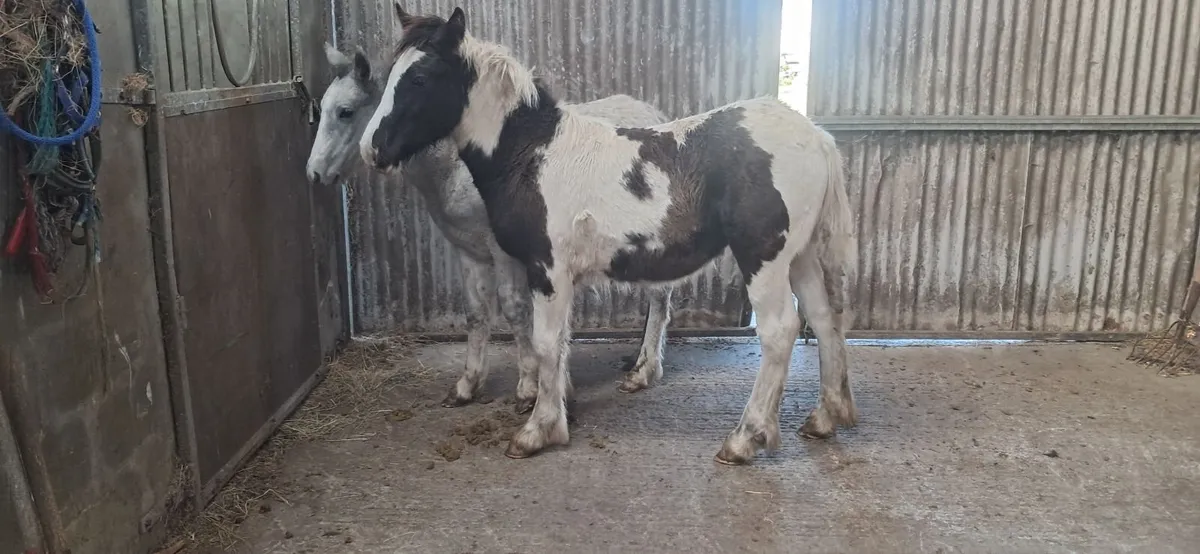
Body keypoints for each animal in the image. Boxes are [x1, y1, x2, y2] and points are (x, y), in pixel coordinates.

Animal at [306, 36, 675, 416]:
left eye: (346, 111)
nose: (315, 173)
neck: (461, 166)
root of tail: (658, 118)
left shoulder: (505, 253)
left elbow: (514, 309)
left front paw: (529, 388)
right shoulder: (469, 250)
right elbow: (476, 312)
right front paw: (467, 385)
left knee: (660, 296)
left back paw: (643, 371)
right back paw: (638, 361)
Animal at [360, 6, 858, 465]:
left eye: (420, 77)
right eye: (389, 75)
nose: (371, 148)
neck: (531, 153)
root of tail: (816, 137)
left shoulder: (545, 268)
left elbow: (543, 342)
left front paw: (538, 429)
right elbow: (555, 341)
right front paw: (559, 406)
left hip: (765, 258)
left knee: (779, 331)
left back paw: (745, 439)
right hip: (801, 257)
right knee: (824, 318)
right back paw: (823, 418)